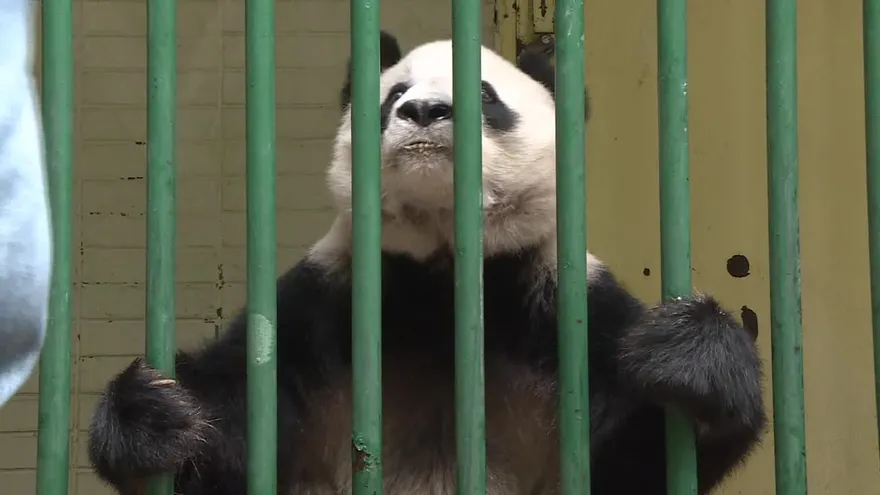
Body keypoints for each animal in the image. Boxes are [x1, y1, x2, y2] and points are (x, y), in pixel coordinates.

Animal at [87, 30, 767, 495]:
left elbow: (636, 464)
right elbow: (231, 439)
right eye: (395, 93)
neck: (444, 276)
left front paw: (692, 360)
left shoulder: (563, 308)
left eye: (485, 95)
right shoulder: (322, 306)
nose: (422, 112)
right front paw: (152, 418)